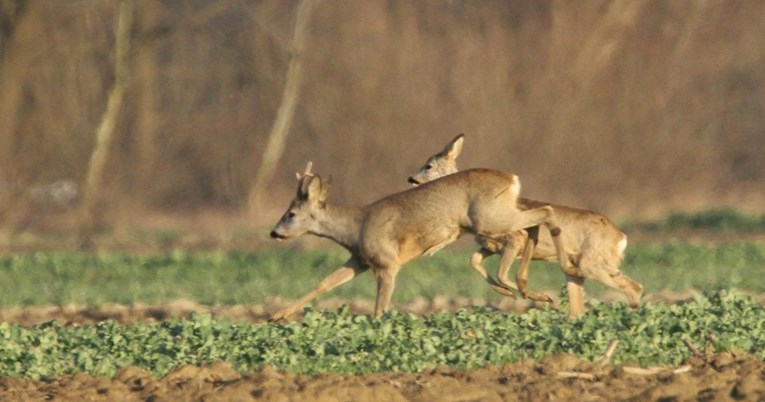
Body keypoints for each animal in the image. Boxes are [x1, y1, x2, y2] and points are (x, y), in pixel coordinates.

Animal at [268, 160, 572, 320]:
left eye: (291, 213)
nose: (273, 233)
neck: (355, 227)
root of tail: (512, 179)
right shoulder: (360, 260)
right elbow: (324, 283)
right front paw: (277, 315)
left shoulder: (387, 263)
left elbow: (380, 308)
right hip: (496, 217)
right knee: (532, 225)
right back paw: (526, 289)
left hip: (490, 218)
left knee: (540, 216)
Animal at [408, 134, 640, 318]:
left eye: (428, 165)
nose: (411, 179)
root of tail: (621, 237)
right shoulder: (492, 246)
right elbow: (474, 260)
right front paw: (509, 293)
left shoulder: (514, 239)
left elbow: (502, 272)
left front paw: (536, 296)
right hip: (583, 271)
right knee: (578, 310)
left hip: (593, 261)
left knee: (634, 287)